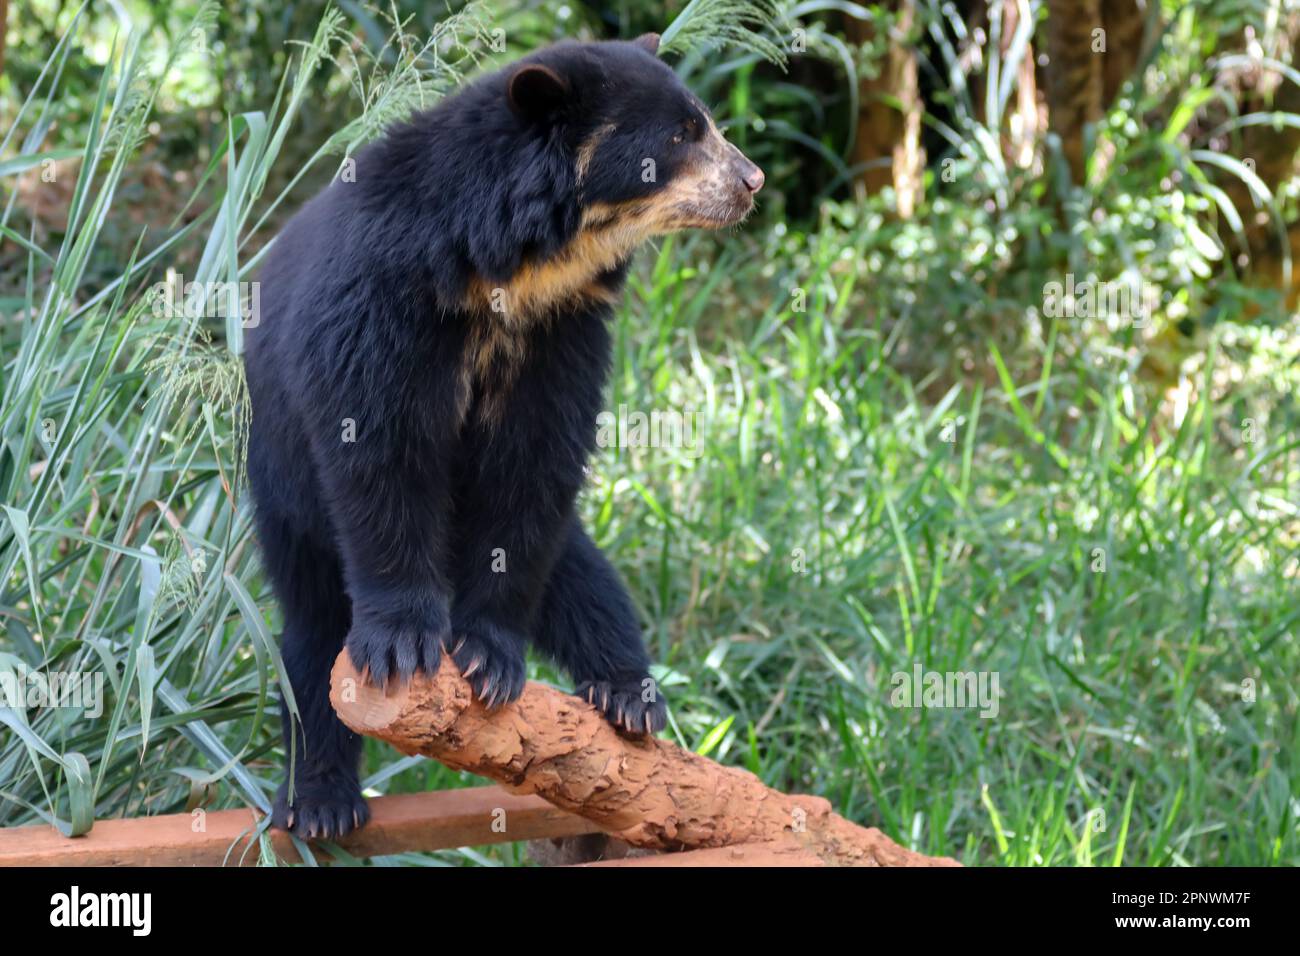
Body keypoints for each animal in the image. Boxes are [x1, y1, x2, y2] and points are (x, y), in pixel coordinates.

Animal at [245, 33, 764, 839]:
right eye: (681, 136)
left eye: (702, 123)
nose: (751, 181)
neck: (511, 269)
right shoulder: (379, 305)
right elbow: (379, 457)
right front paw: (403, 646)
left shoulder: (561, 332)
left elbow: (532, 473)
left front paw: (490, 660)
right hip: (279, 485)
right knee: (310, 626)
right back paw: (321, 800)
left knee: (579, 574)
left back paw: (628, 693)